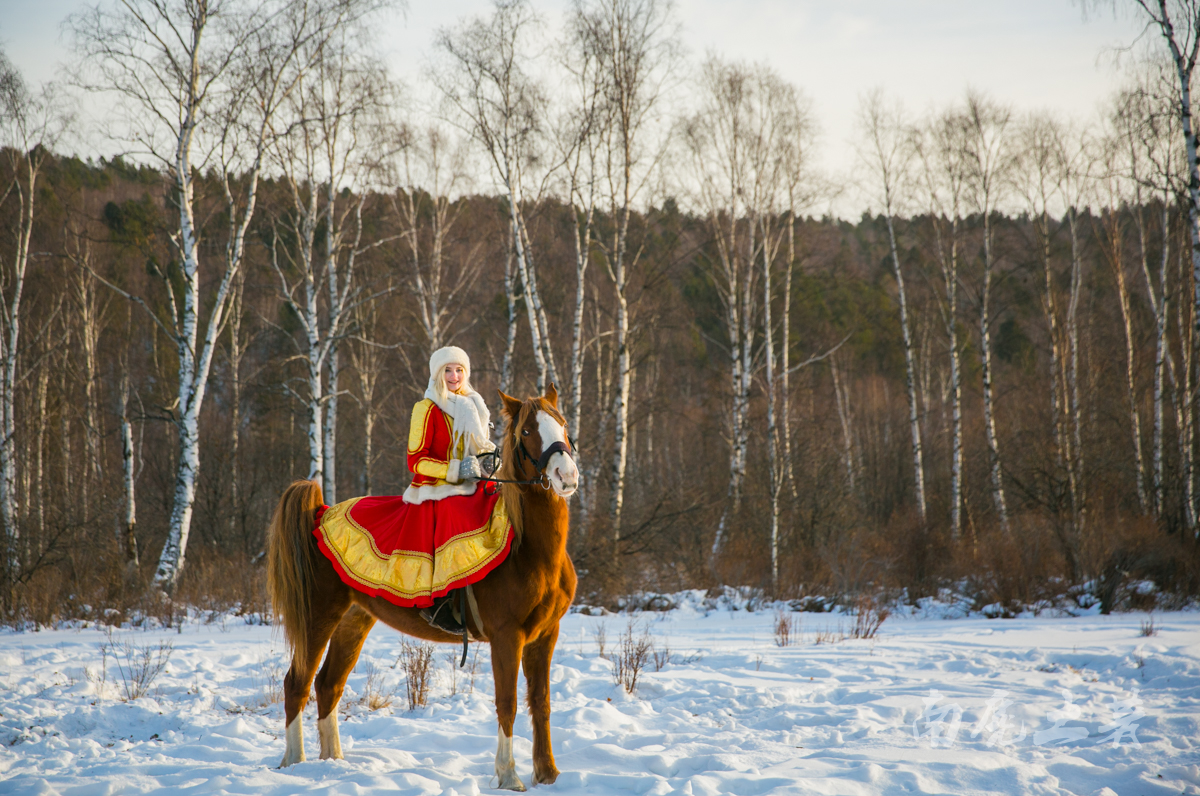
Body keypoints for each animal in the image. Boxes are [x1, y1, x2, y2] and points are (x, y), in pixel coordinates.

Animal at [264, 386, 580, 792]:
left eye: (563, 423)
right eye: (526, 431)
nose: (565, 475)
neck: (529, 549)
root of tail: (319, 513)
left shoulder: (545, 635)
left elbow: (540, 702)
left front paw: (548, 774)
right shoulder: (507, 637)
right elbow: (507, 703)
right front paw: (509, 775)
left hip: (354, 620)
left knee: (328, 685)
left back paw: (332, 761)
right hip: (318, 616)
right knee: (297, 683)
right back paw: (294, 763)